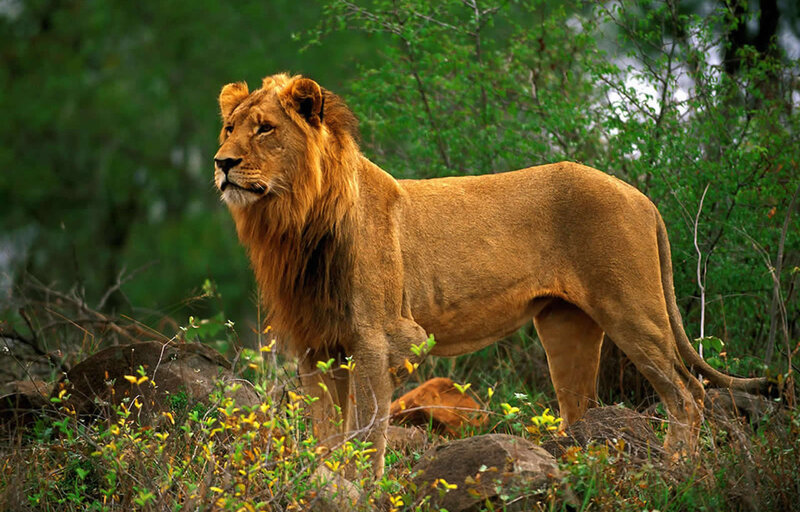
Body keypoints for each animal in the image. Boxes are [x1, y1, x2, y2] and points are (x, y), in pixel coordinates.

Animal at [213, 73, 766, 476]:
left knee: (688, 393)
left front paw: (359, 488)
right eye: (229, 128)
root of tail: (642, 196)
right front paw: (323, 483)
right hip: (566, 329)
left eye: (265, 129)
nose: (221, 163)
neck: (293, 223)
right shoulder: (315, 345)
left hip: (632, 310)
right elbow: (327, 434)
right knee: (584, 412)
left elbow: (367, 436)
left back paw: (677, 468)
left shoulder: (380, 338)